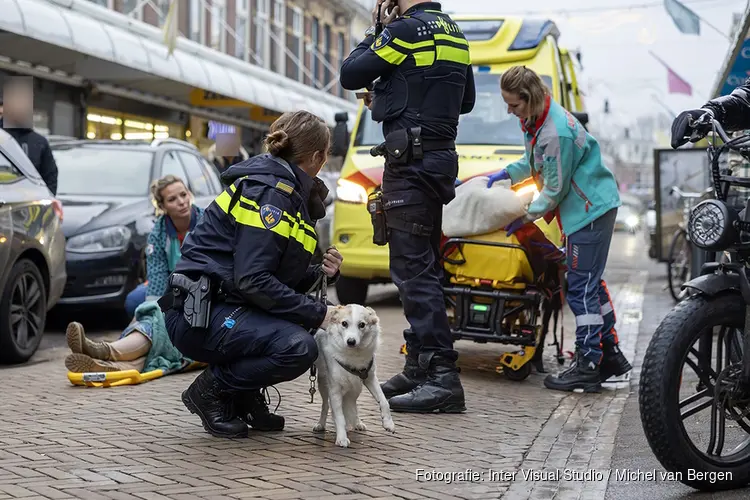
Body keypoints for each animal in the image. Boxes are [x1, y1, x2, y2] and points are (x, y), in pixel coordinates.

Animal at [312, 302, 396, 448]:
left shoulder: (370, 378)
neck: (354, 355)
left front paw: (388, 423)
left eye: (362, 325)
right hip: (323, 383)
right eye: (344, 323)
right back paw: (321, 424)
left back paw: (357, 422)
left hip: (356, 387)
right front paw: (341, 438)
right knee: (325, 405)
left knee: (353, 403)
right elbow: (339, 416)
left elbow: (384, 400)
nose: (351, 341)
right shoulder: (334, 388)